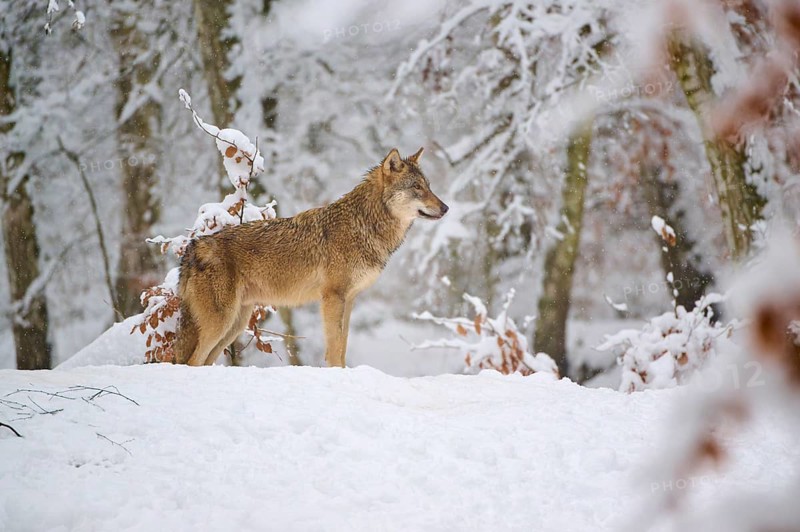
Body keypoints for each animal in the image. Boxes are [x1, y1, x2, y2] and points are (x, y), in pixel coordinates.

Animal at [173, 147, 448, 367]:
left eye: (428, 186)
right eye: (417, 187)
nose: (446, 208)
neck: (365, 224)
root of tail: (194, 247)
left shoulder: (349, 299)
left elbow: (343, 344)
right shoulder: (332, 297)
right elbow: (335, 347)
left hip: (235, 324)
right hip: (222, 322)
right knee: (192, 361)